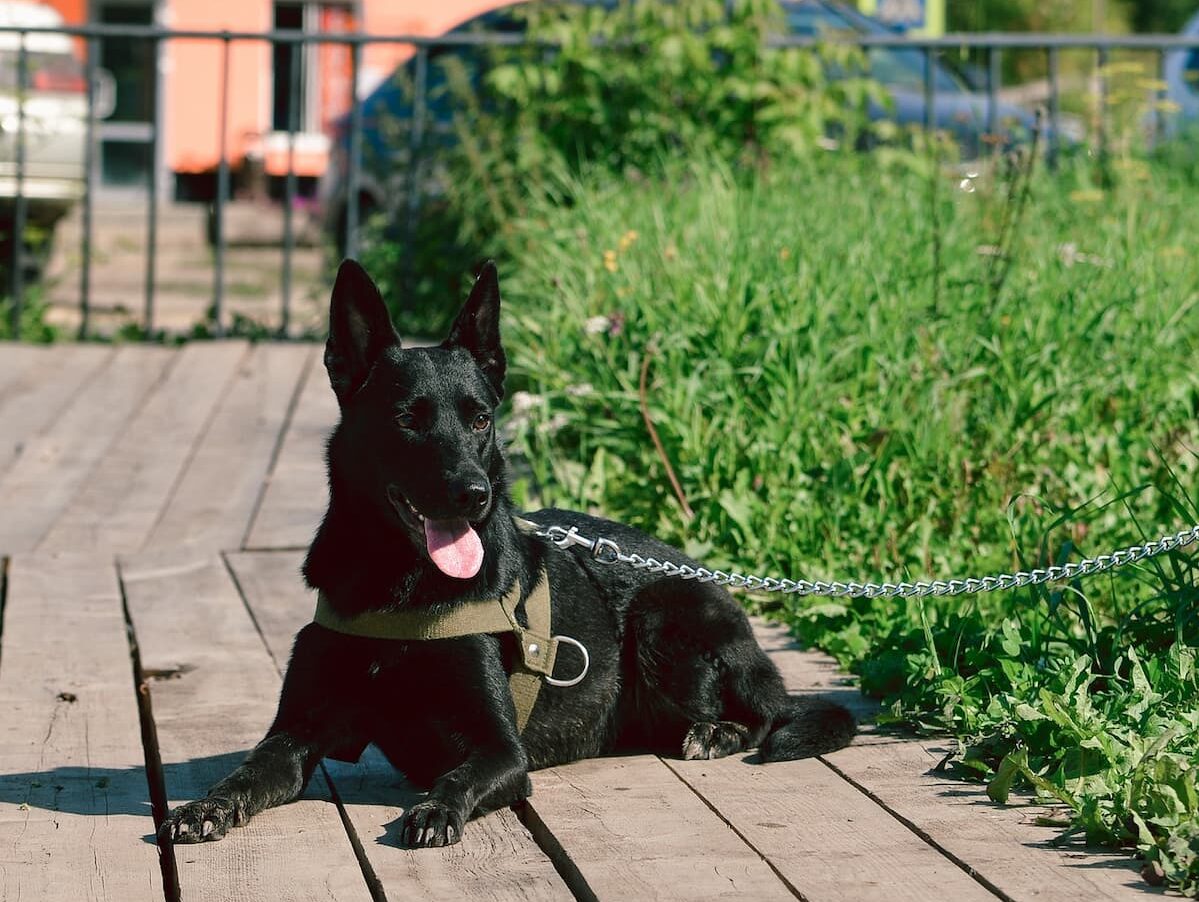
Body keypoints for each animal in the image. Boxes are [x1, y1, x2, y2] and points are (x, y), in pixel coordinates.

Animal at [161, 259, 853, 844]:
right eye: (407, 419)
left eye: (480, 419)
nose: (476, 493)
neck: (402, 587)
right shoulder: (293, 736)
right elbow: (249, 771)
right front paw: (207, 805)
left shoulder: (500, 752)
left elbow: (459, 776)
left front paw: (435, 809)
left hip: (663, 619)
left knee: (765, 717)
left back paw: (716, 731)